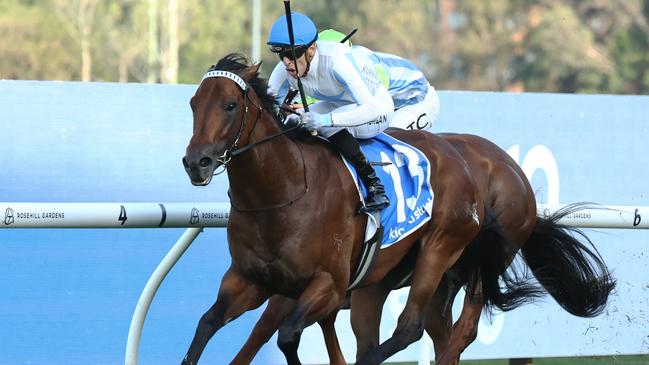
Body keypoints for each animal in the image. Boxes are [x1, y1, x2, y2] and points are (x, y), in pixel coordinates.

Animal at [182, 54, 612, 364]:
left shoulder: (325, 285)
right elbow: (207, 324)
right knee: (433, 333)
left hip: (447, 252)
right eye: (193, 103)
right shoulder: (250, 280)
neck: (281, 193)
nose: (196, 162)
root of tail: (509, 171)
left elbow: (286, 336)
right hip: (401, 282)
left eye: (230, 104)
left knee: (424, 329)